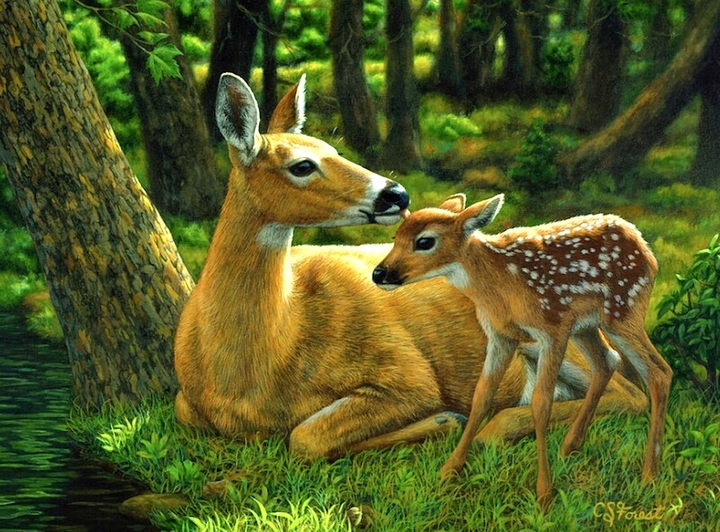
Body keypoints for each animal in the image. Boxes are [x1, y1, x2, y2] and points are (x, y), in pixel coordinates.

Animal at [174, 73, 649, 466]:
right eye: (303, 165)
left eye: (335, 150)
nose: (396, 193)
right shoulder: (186, 403)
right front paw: (443, 422)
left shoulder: (406, 373)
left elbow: (305, 437)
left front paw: (443, 420)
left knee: (628, 392)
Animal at [372, 193, 672, 506]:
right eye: (395, 237)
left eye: (424, 241)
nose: (379, 273)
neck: (500, 285)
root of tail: (642, 244)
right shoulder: (500, 334)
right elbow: (482, 395)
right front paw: (449, 470)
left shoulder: (551, 328)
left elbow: (541, 402)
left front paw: (544, 494)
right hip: (586, 324)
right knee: (607, 361)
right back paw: (569, 448)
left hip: (623, 309)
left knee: (659, 371)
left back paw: (649, 475)